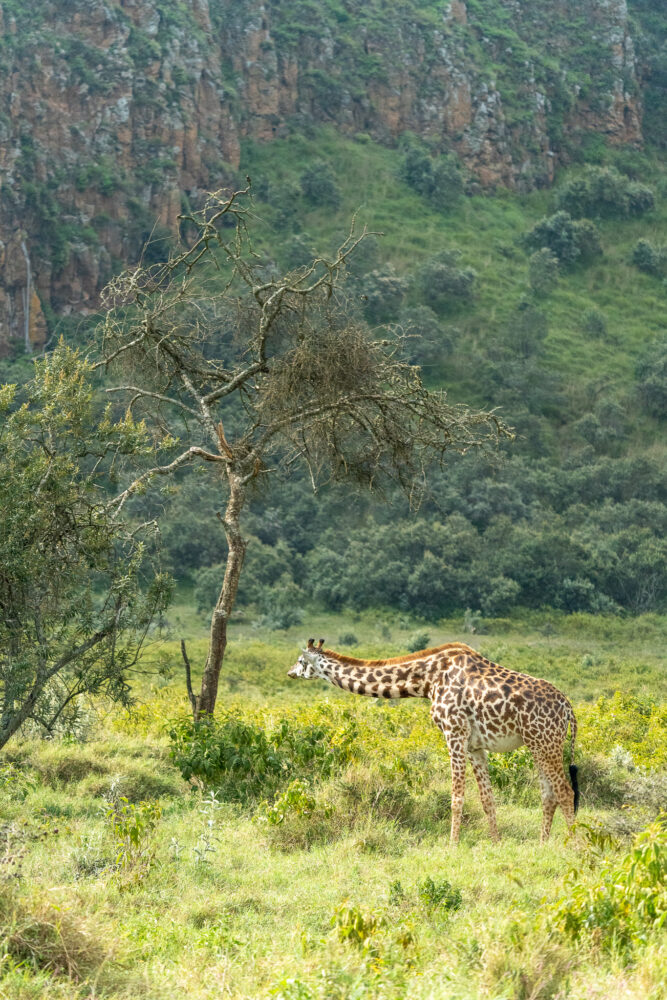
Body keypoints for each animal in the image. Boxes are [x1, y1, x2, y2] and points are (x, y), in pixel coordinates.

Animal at [288, 636, 580, 840]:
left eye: (301, 661)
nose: (290, 672)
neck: (426, 681)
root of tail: (568, 707)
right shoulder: (475, 746)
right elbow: (487, 800)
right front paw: (496, 843)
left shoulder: (454, 734)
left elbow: (456, 798)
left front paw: (452, 846)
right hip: (536, 744)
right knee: (549, 794)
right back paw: (542, 845)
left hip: (546, 742)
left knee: (565, 792)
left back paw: (575, 847)